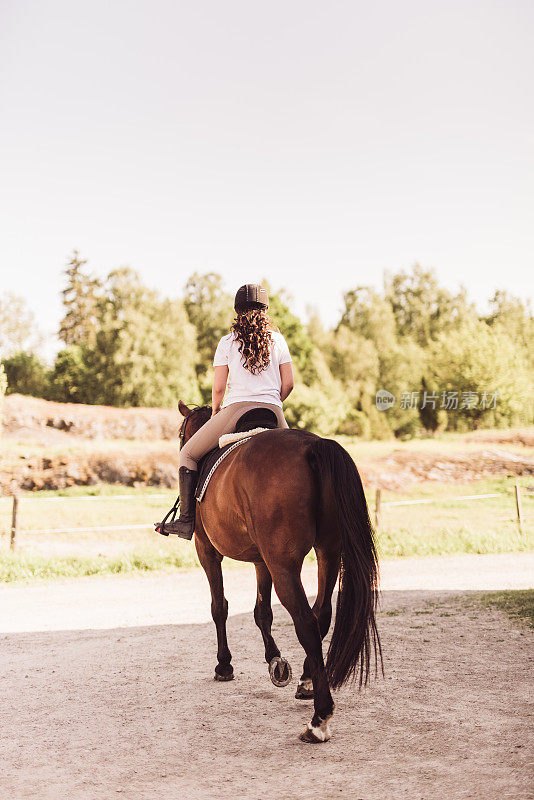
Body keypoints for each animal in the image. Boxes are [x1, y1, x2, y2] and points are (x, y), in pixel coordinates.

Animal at [171, 400, 382, 744]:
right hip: (327, 551)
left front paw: (224, 665)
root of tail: (313, 447)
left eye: (180, 434)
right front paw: (276, 662)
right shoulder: (262, 560)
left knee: (306, 622)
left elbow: (219, 607)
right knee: (321, 614)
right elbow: (262, 612)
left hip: (284, 564)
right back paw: (308, 681)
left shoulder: (207, 550)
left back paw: (319, 719)